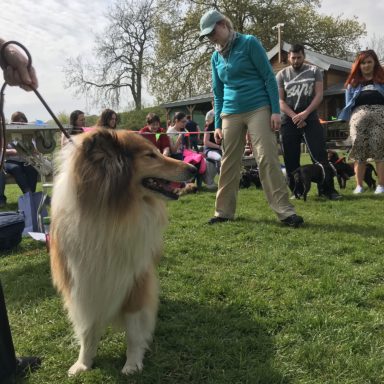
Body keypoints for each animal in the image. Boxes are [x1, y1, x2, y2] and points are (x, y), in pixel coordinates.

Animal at [50, 129, 196, 376]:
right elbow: (87, 330)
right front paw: (83, 363)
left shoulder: (135, 281)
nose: (193, 169)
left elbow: (135, 331)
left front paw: (132, 364)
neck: (109, 214)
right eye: (150, 155)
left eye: (157, 151)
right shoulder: (82, 284)